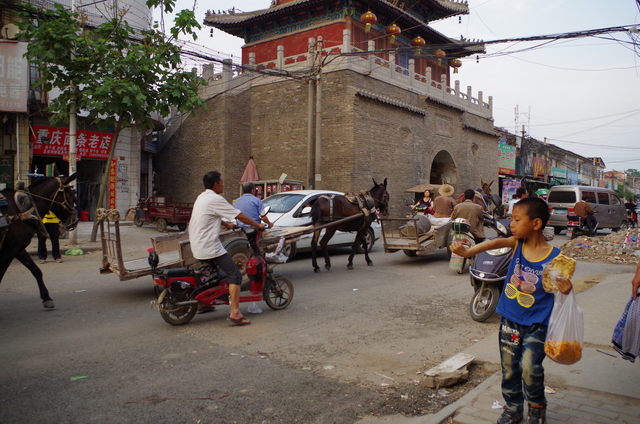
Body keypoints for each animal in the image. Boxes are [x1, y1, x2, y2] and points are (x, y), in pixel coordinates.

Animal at [0, 174, 79, 310]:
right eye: (70, 194)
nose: (75, 220)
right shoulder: (9, 249)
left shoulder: (19, 248)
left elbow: (36, 271)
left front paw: (46, 298)